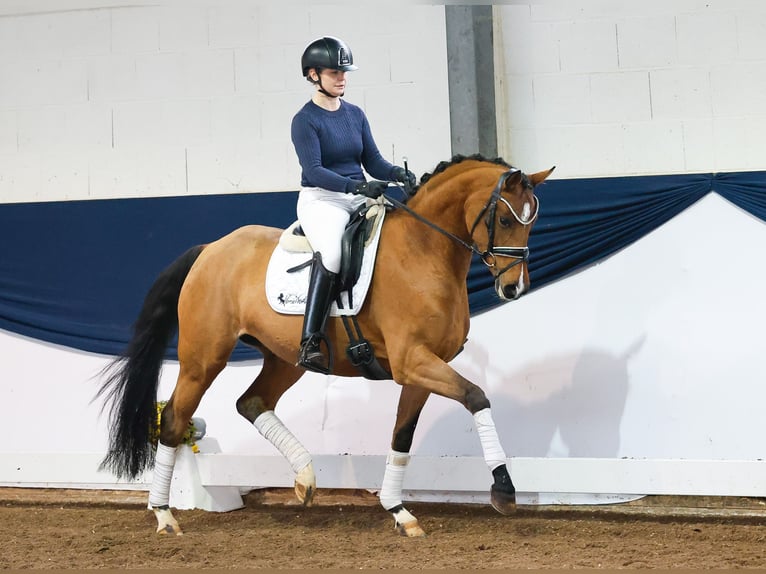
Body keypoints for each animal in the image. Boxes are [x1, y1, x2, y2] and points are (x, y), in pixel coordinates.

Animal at [99, 154, 556, 540]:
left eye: (532, 221)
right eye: (504, 217)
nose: (513, 288)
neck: (424, 251)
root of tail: (210, 249)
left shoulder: (421, 369)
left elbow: (402, 436)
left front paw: (399, 511)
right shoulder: (413, 361)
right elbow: (476, 397)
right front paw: (504, 490)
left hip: (285, 359)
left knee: (252, 401)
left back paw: (304, 479)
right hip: (203, 358)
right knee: (175, 420)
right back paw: (164, 515)